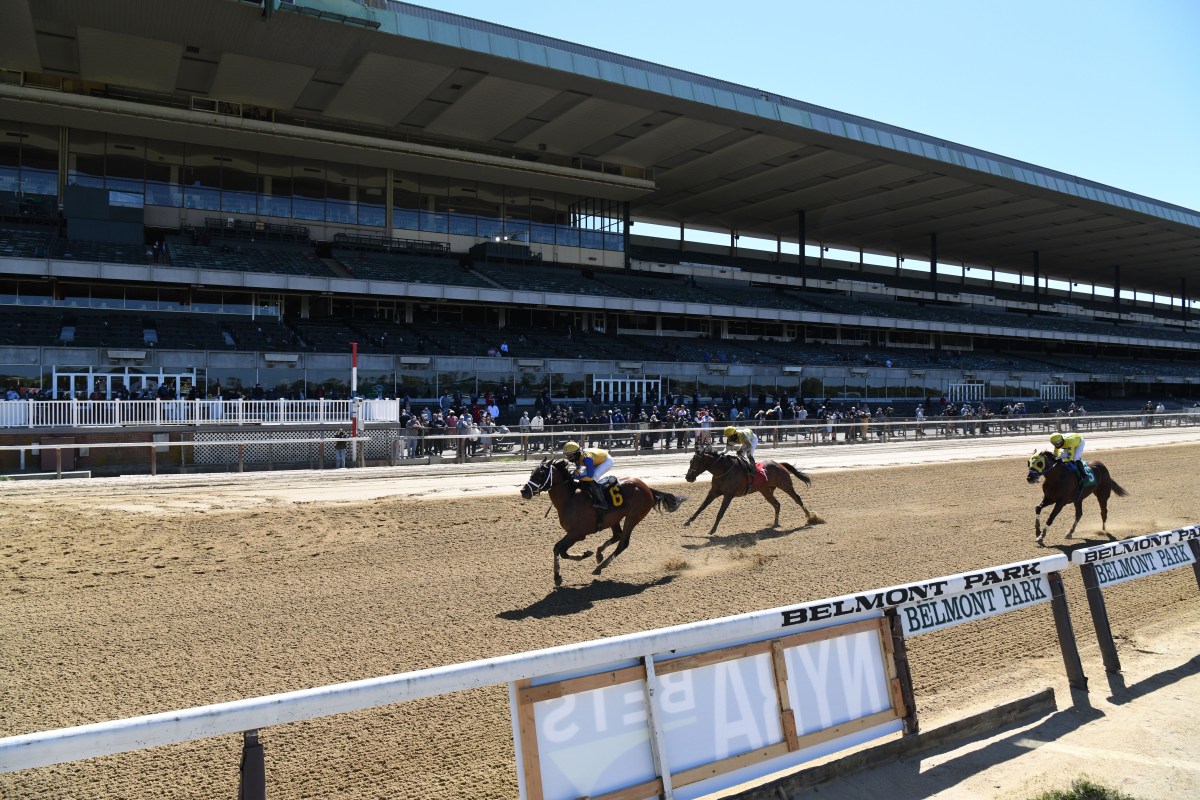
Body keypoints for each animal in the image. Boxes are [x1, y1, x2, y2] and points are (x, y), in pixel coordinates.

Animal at [516, 455, 686, 587]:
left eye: (540, 474)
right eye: (532, 472)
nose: (524, 491)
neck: (570, 499)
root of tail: (647, 487)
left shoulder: (578, 533)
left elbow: (558, 548)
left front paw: (558, 577)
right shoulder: (573, 534)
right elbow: (561, 551)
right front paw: (586, 554)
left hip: (633, 516)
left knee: (623, 542)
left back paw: (600, 567)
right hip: (614, 518)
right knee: (617, 535)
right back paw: (599, 554)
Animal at [681, 443, 820, 537]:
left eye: (695, 462)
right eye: (690, 461)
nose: (688, 477)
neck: (723, 470)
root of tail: (779, 464)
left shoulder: (728, 495)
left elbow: (720, 512)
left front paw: (712, 530)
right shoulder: (714, 491)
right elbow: (701, 506)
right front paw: (688, 521)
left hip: (785, 485)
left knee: (797, 498)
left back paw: (810, 517)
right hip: (765, 490)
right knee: (777, 504)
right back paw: (775, 523)